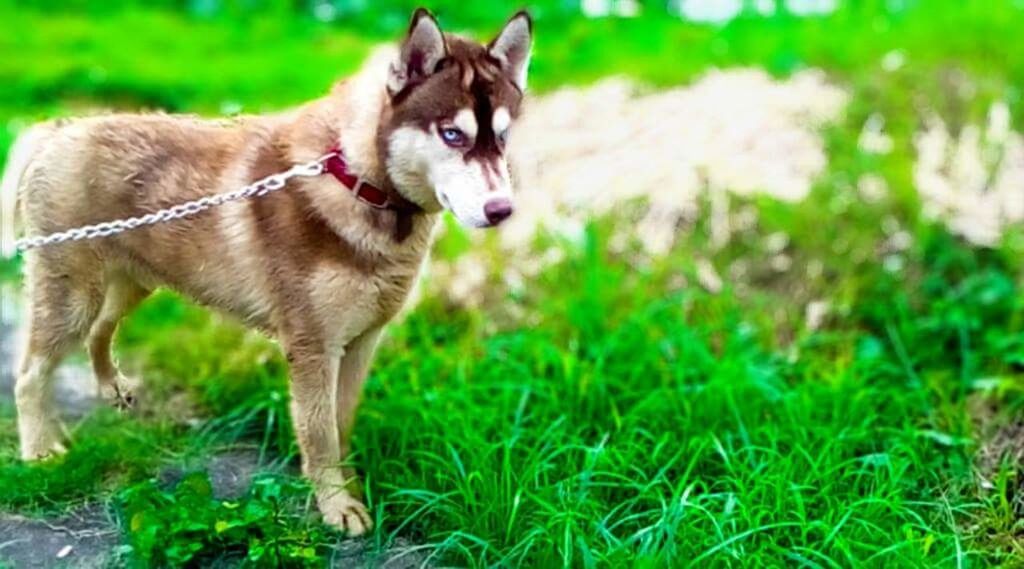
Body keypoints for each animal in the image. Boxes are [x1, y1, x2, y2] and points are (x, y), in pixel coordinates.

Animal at [2, 7, 536, 532]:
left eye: (503, 137)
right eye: (452, 134)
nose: (502, 210)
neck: (358, 181)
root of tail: (57, 129)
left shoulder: (363, 340)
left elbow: (341, 423)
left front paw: (348, 484)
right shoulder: (314, 346)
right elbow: (319, 432)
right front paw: (336, 505)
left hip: (132, 283)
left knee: (101, 330)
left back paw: (110, 385)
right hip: (72, 298)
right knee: (31, 373)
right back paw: (39, 450)